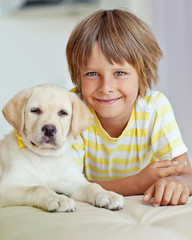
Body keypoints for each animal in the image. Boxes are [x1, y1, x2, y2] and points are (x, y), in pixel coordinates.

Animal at [0, 84, 124, 212]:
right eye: (35, 110)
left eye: (63, 113)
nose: (49, 129)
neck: (47, 157)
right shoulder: (8, 186)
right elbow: (37, 188)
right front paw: (58, 198)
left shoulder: (71, 180)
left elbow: (92, 185)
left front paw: (108, 195)